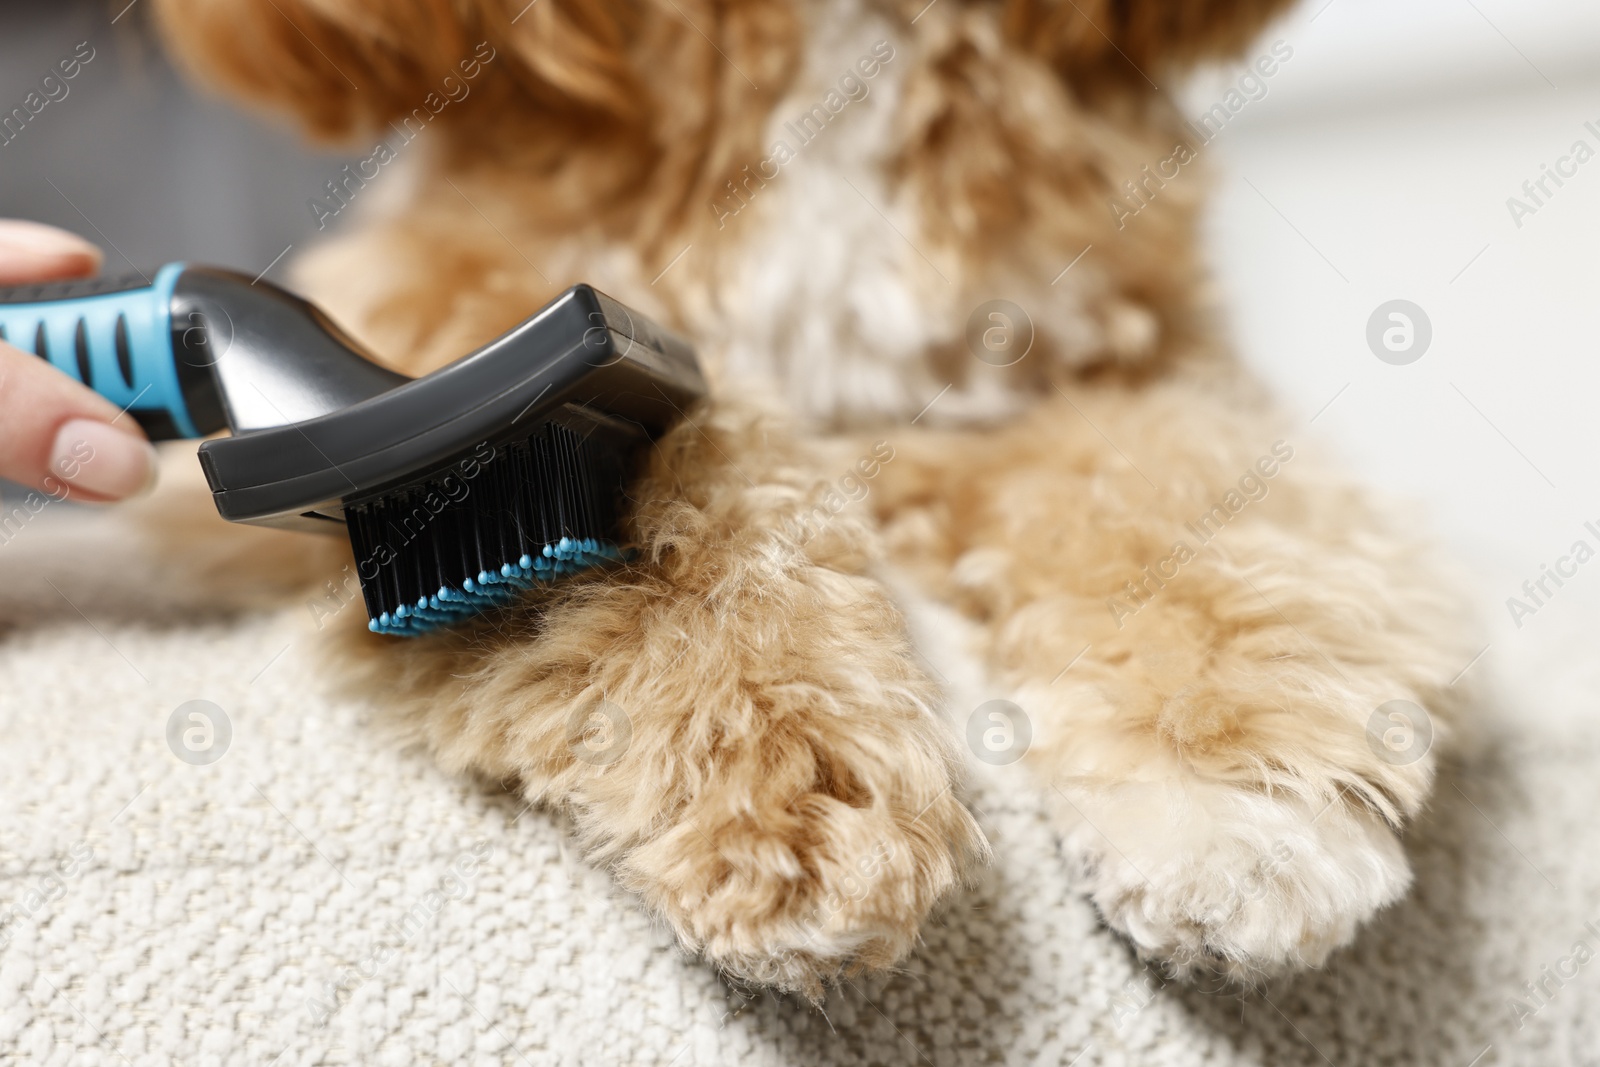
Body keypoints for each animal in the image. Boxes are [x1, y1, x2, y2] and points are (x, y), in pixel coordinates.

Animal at [150, 0, 1472, 998]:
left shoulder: (1106, 379)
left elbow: (1186, 519)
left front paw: (1231, 797)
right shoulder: (456, 321)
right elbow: (698, 504)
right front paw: (773, 773)